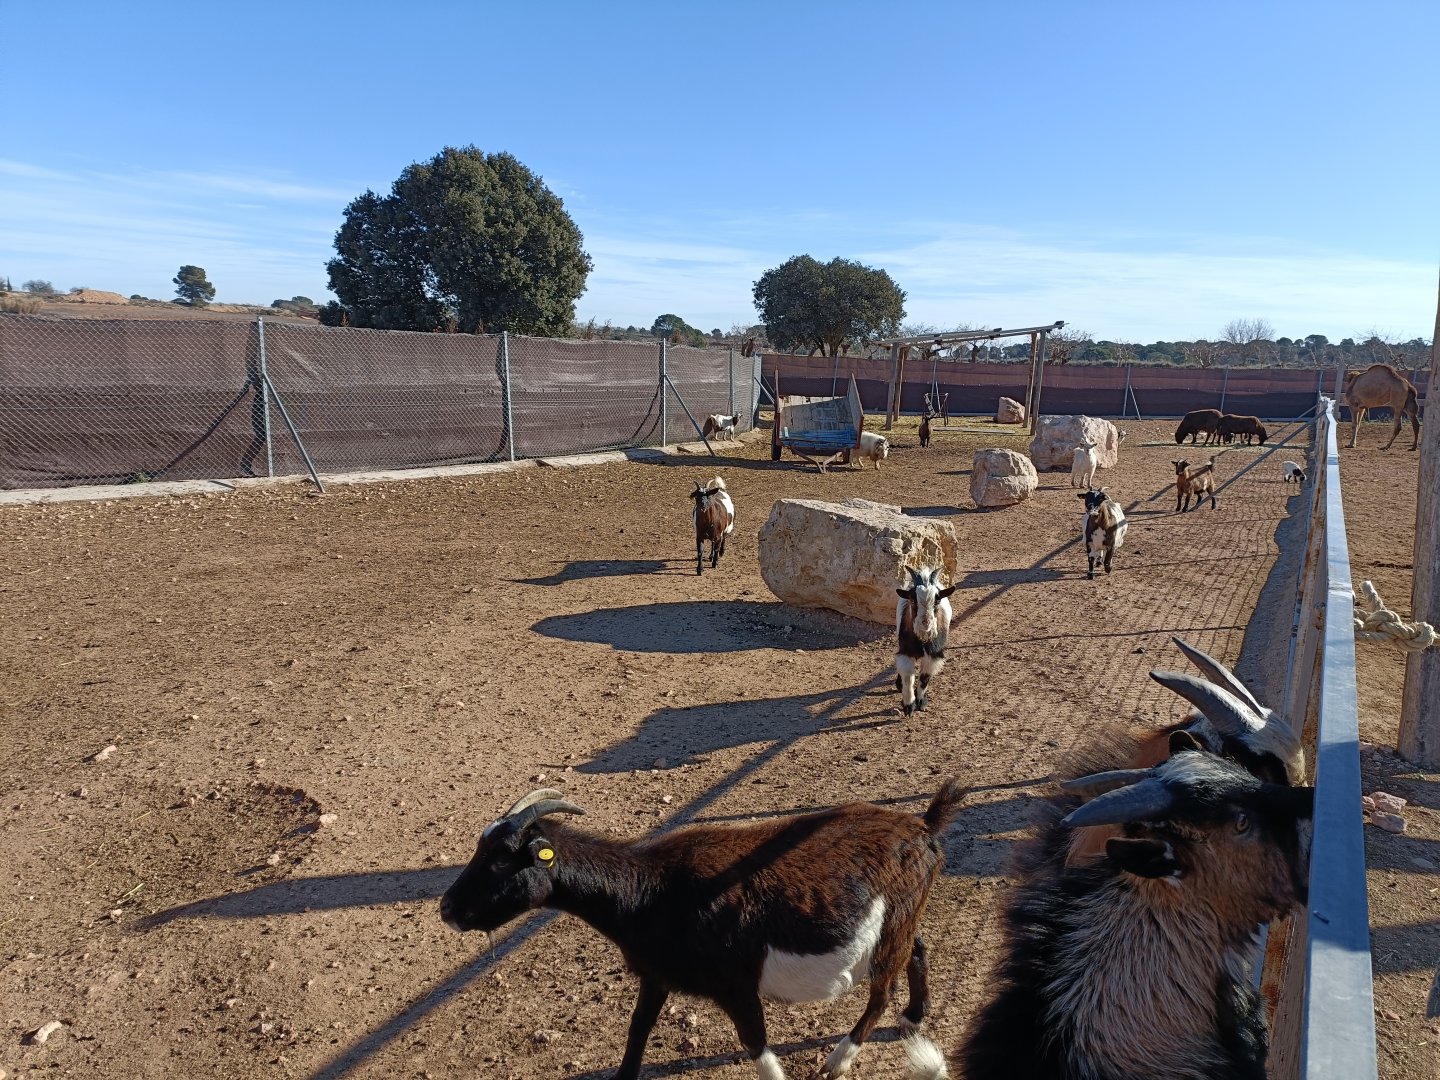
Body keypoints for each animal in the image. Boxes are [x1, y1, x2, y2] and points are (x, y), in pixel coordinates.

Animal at [442, 783, 967, 1080]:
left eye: (501, 860)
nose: (447, 909)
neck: (651, 892)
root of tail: (924, 826)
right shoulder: (655, 976)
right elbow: (636, 1033)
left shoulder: (736, 986)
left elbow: (756, 1047)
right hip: (897, 918)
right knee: (918, 951)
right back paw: (914, 1016)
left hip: (893, 924)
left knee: (881, 992)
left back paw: (839, 1059)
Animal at [894, 566, 956, 716]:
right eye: (913, 600)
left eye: (937, 600)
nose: (925, 623)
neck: (922, 639)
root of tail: (925, 575)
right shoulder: (906, 651)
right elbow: (908, 677)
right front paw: (908, 705)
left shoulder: (933, 654)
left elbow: (924, 678)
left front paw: (921, 701)